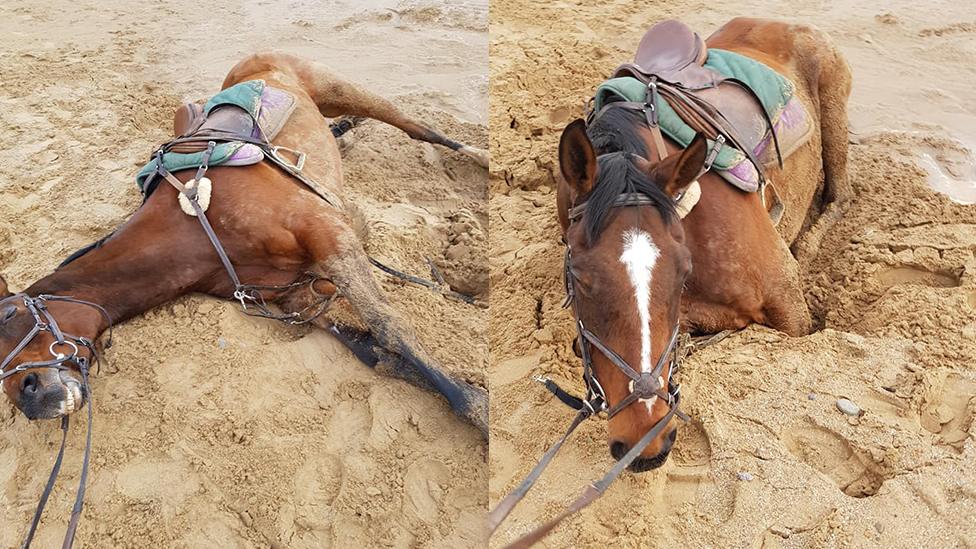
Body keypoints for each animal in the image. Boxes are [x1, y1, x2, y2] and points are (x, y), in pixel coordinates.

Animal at [0, 53, 488, 436]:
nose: (28, 398)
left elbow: (390, 327)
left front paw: (481, 412)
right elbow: (382, 356)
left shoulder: (329, 234)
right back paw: (346, 129)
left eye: (7, 315)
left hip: (341, 89)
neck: (193, 228)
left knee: (418, 128)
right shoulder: (299, 297)